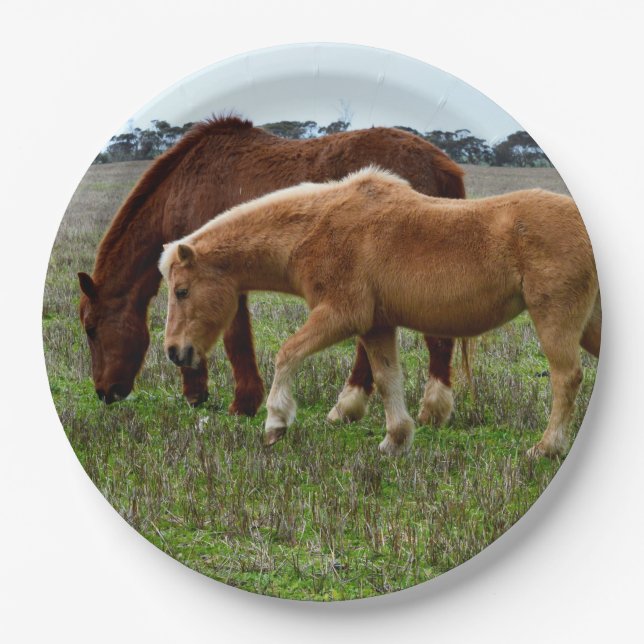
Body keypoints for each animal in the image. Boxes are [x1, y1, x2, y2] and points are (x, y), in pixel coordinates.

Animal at [78, 116, 465, 426]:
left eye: (91, 329)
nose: (104, 392)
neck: (184, 186)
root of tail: (440, 163)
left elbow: (234, 338)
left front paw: (241, 402)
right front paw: (201, 393)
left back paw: (427, 409)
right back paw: (352, 406)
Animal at [159, 167, 601, 458]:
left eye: (181, 291)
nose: (175, 352)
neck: (317, 227)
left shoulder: (341, 315)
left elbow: (288, 353)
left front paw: (275, 424)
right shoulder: (376, 326)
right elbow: (388, 379)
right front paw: (395, 439)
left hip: (555, 319)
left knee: (566, 378)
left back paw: (546, 447)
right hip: (588, 326)